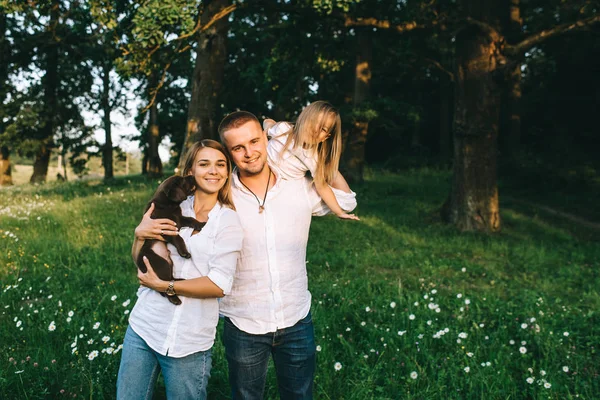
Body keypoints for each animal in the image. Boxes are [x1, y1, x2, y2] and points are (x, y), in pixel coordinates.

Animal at [135, 173, 205, 304]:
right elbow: (178, 238)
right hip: (160, 263)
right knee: (163, 285)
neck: (168, 205)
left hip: (169, 262)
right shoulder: (165, 228)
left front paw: (201, 224)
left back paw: (180, 281)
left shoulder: (179, 219)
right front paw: (184, 253)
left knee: (169, 280)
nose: (192, 175)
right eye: (183, 180)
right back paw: (174, 299)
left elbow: (191, 219)